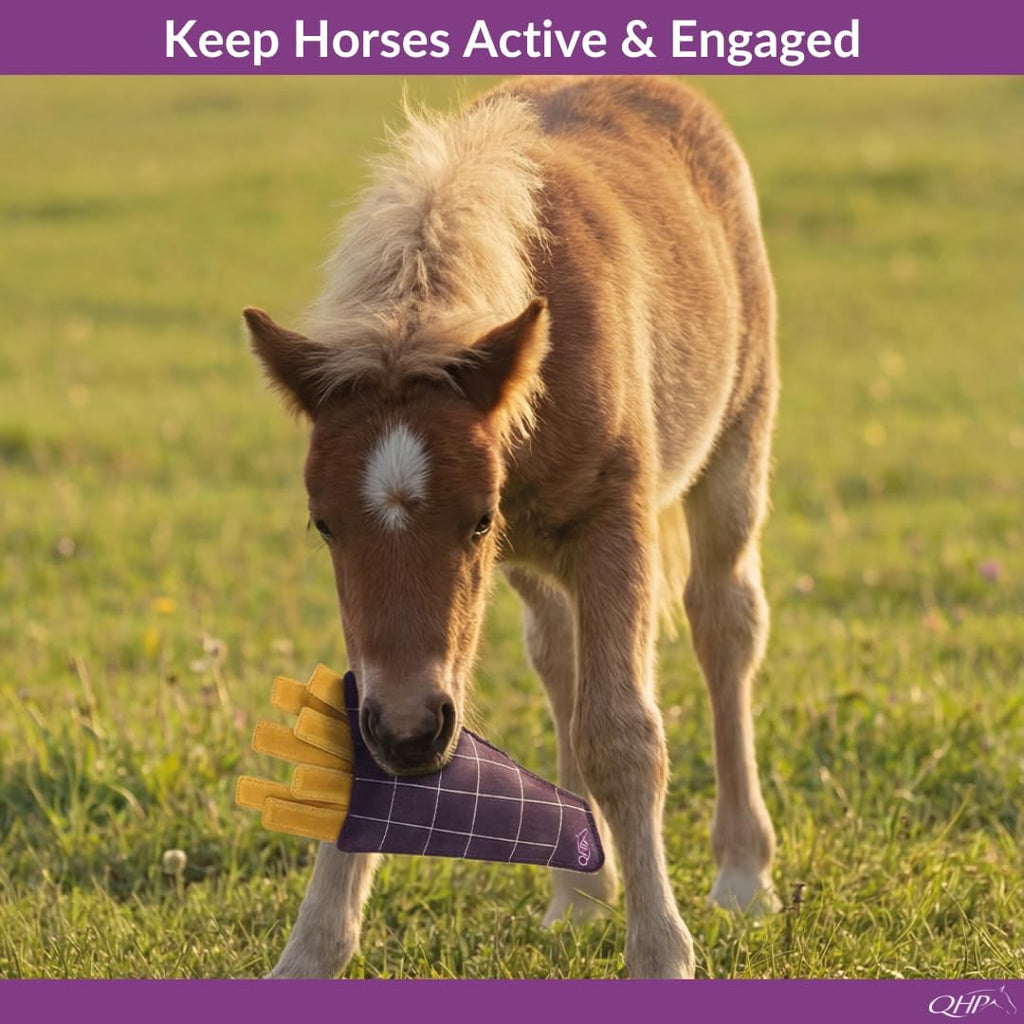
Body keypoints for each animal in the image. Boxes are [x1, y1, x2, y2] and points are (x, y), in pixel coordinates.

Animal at [245, 75, 780, 979]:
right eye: (322, 524)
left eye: (477, 518)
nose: (410, 733)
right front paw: (308, 955)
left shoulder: (613, 526)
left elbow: (622, 734)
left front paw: (660, 951)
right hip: (533, 563)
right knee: (559, 658)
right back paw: (580, 894)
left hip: (734, 448)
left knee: (724, 624)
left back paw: (742, 874)